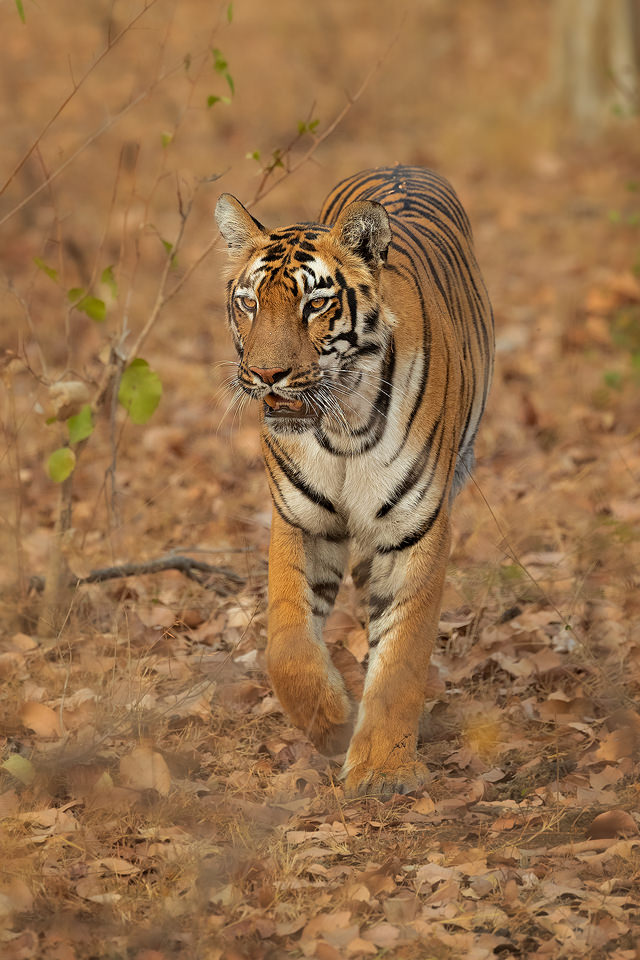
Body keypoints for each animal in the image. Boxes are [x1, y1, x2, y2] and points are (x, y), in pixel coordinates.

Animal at [215, 167, 496, 804]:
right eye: (248, 303)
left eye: (315, 304)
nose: (266, 375)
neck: (341, 424)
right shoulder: (300, 520)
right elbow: (287, 645)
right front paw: (333, 722)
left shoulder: (415, 530)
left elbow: (403, 655)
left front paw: (383, 770)